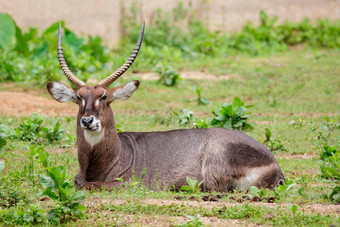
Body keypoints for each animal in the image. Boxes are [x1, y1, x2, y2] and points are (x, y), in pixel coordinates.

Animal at [45, 22, 284, 191]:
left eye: (103, 96)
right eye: (79, 97)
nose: (88, 120)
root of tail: (274, 164)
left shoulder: (126, 183)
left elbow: (87, 185)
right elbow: (77, 181)